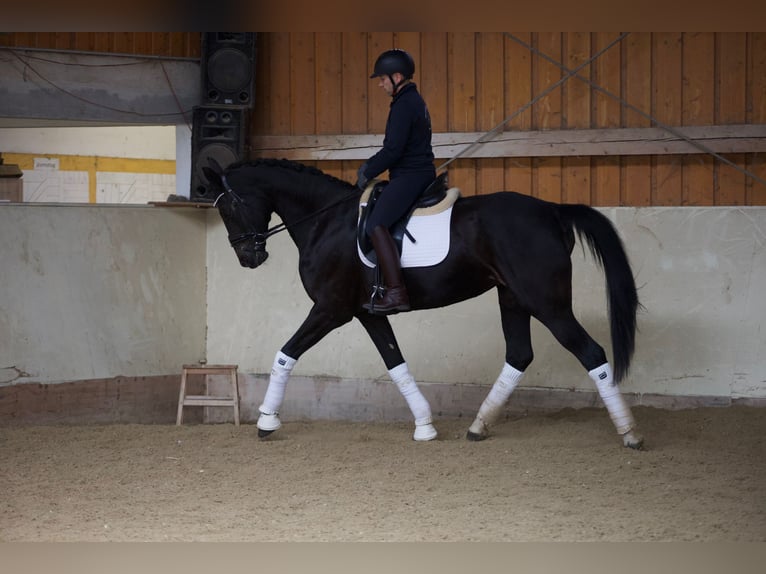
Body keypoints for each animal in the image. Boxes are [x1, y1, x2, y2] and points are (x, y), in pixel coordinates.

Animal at [207, 158, 644, 450]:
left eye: (228, 207)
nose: (248, 257)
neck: (325, 221)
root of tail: (552, 211)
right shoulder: (367, 313)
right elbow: (396, 364)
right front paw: (425, 425)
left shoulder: (331, 310)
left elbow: (285, 354)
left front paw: (267, 421)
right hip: (513, 298)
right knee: (519, 354)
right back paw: (478, 426)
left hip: (547, 304)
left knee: (591, 352)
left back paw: (629, 433)